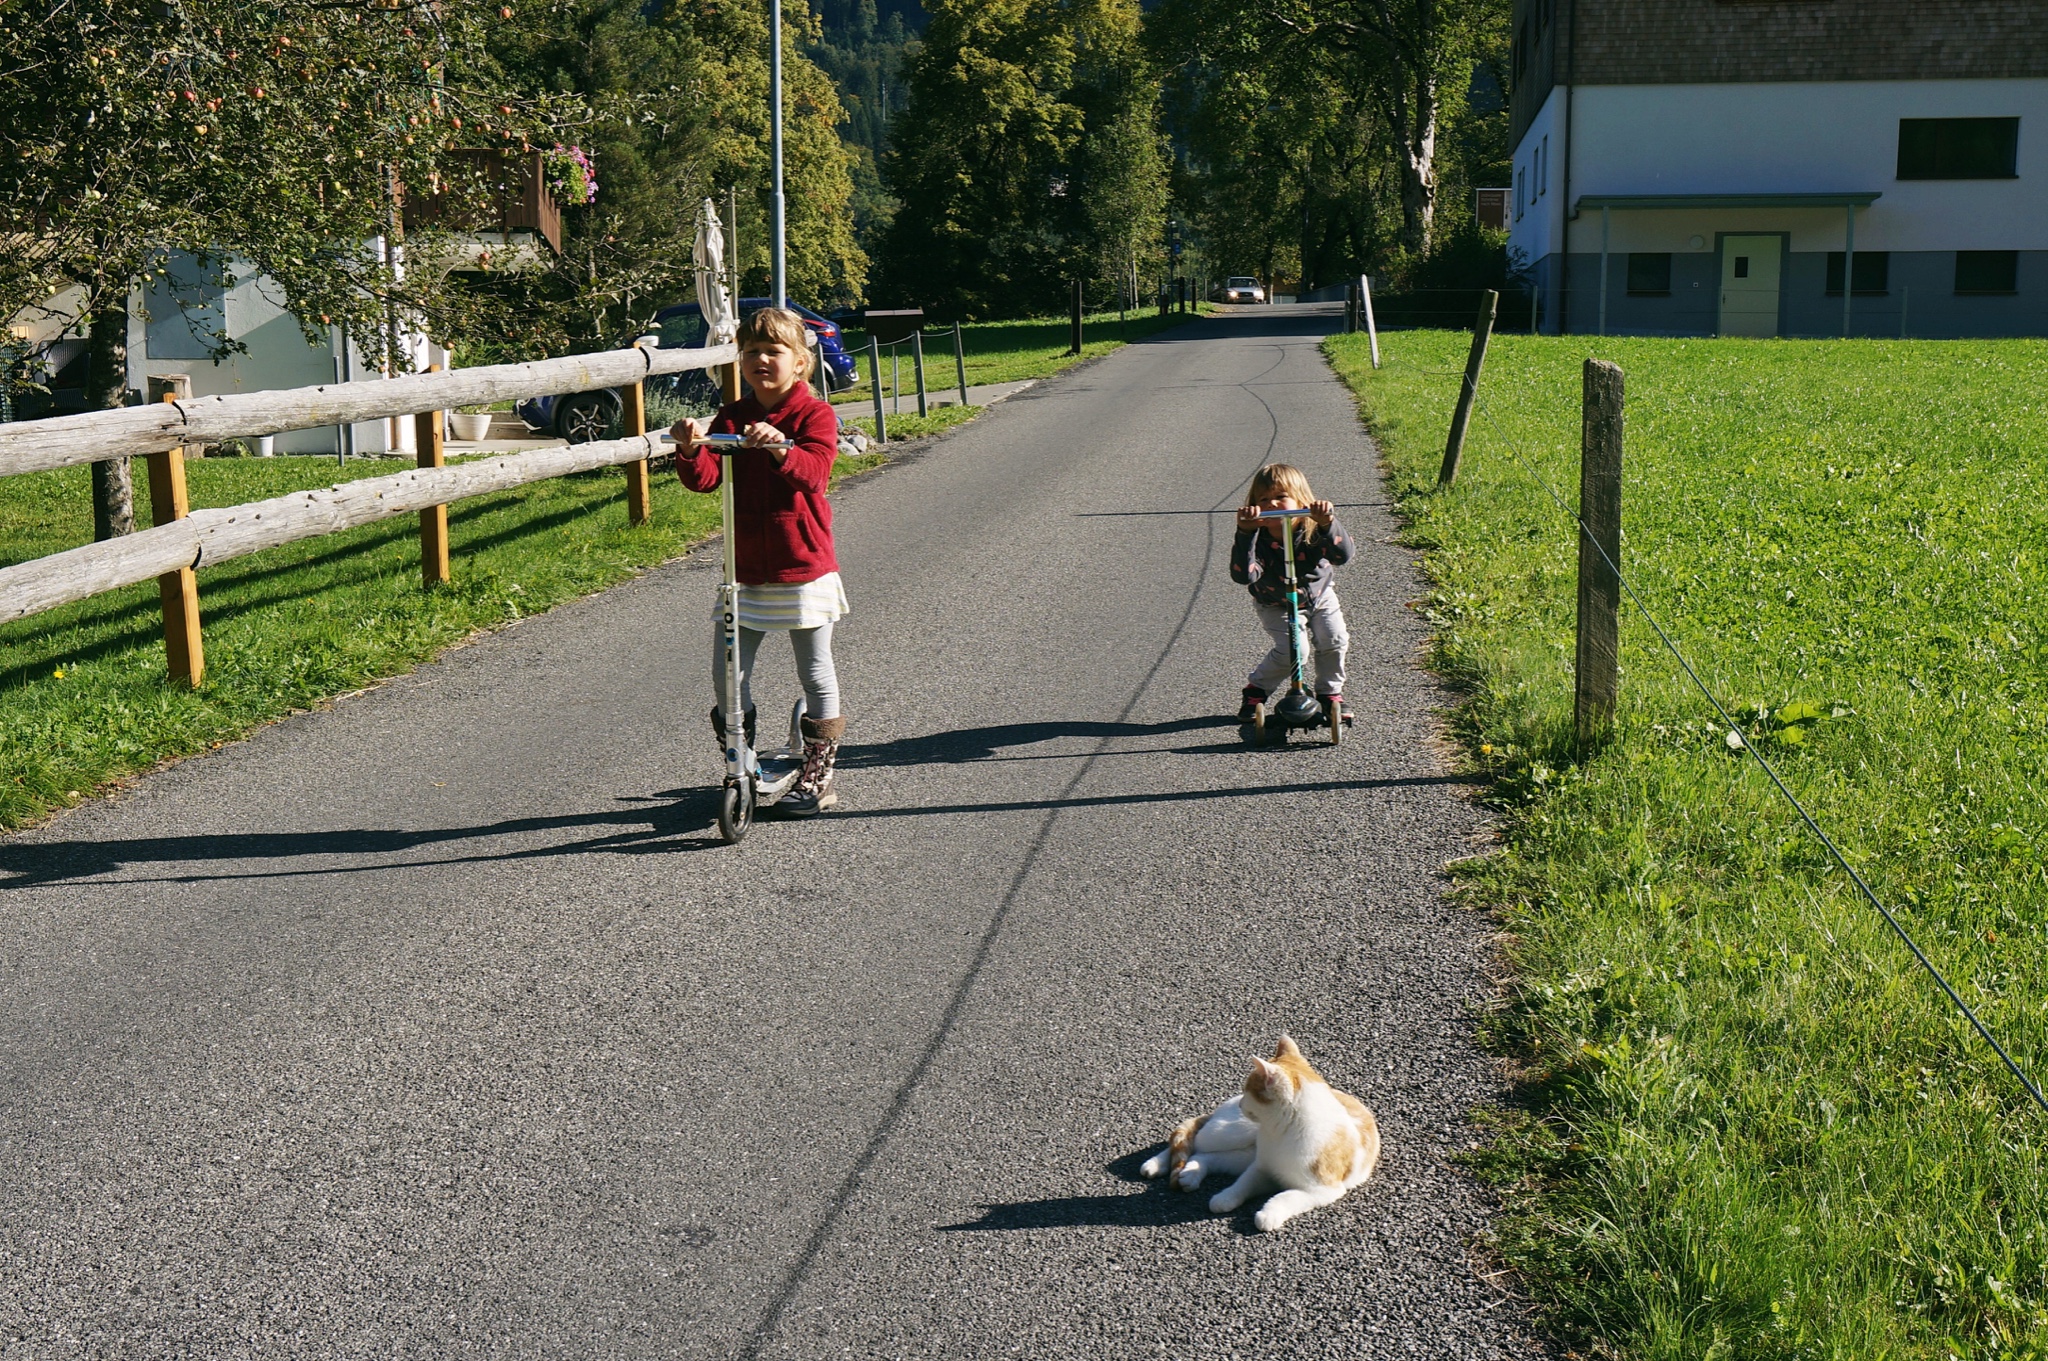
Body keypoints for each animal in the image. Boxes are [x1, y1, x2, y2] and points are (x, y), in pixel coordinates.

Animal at [1138, 1035, 1376, 1227]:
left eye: (1248, 1092)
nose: (1241, 1103)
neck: (1279, 1133)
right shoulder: (1261, 1168)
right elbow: (1243, 1183)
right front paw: (1226, 1197)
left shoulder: (1322, 1190)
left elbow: (1287, 1196)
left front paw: (1268, 1214)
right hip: (1230, 1133)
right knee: (1192, 1139)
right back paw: (1155, 1165)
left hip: (1243, 1153)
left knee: (1203, 1155)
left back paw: (1191, 1174)